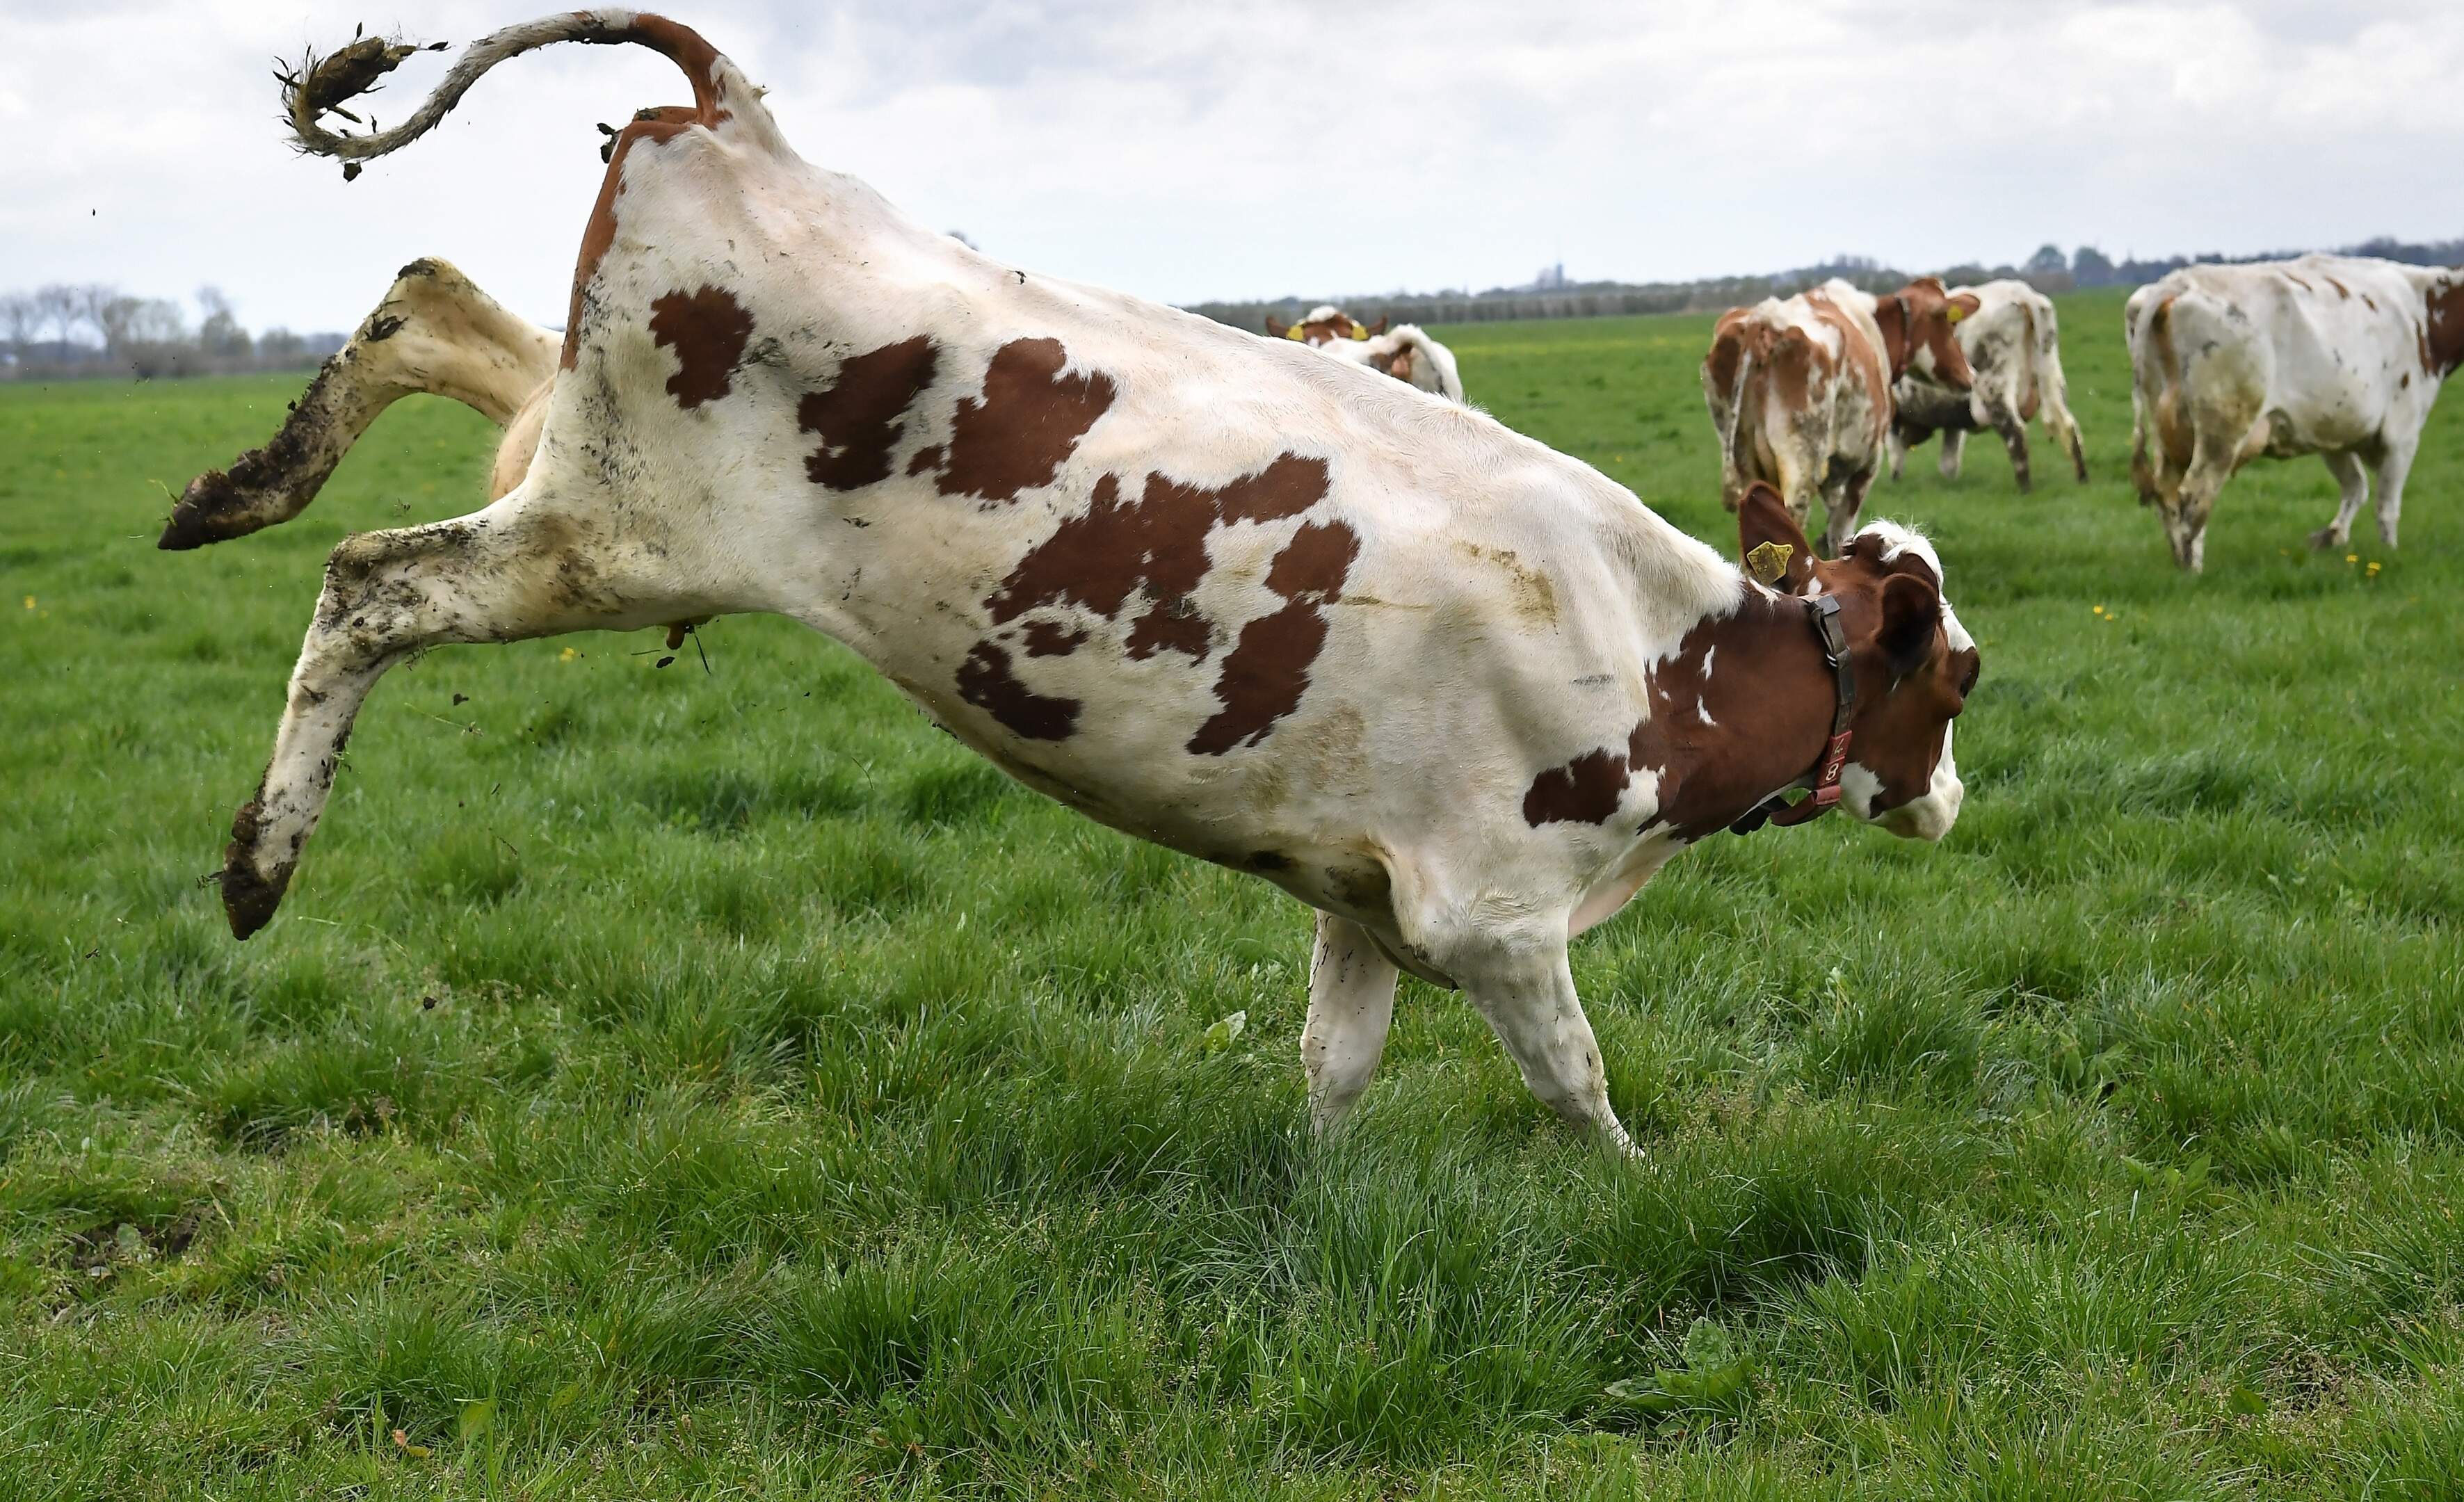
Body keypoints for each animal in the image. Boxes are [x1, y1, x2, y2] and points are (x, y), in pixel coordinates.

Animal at [1702, 277, 1977, 555]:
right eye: (1950, 323)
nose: (1971, 374)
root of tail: (1766, 320)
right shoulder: (1866, 464)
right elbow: (1840, 534)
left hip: (1744, 459)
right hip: (1800, 463)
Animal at [1887, 279, 2087, 493]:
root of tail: (2021, 292)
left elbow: (1895, 456)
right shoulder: (1951, 416)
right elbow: (1949, 462)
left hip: (1994, 388)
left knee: (2016, 433)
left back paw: (2026, 491)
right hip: (2051, 375)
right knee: (2068, 426)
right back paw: (2082, 480)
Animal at [2126, 254, 2464, 571]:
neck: (2423, 309)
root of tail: (2176, 283)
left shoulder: (2331, 429)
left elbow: (2356, 487)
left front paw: (2331, 536)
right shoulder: (2402, 433)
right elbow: (2387, 507)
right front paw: (2389, 554)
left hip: (2167, 433)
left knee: (2168, 496)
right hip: (2223, 428)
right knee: (2194, 497)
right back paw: (2192, 571)